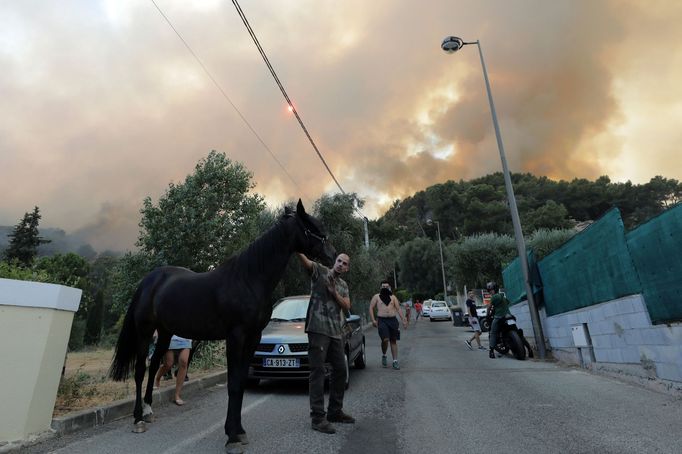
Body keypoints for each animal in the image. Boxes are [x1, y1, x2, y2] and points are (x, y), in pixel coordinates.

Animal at [109, 200, 334, 452]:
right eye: (313, 228)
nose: (333, 255)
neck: (249, 279)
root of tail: (149, 280)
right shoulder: (235, 337)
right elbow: (233, 384)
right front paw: (232, 436)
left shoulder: (253, 337)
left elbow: (241, 382)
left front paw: (239, 431)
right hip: (145, 331)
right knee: (139, 370)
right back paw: (138, 419)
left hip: (165, 333)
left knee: (154, 365)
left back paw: (148, 411)